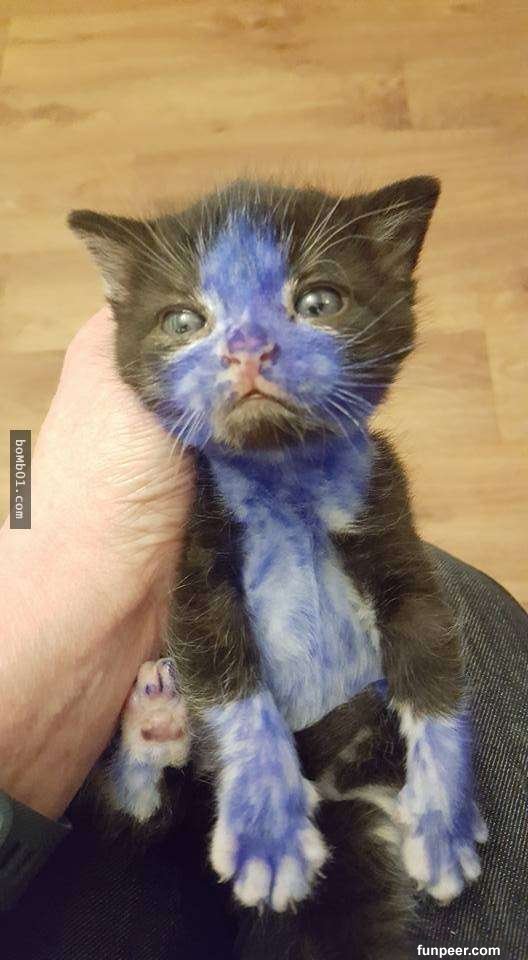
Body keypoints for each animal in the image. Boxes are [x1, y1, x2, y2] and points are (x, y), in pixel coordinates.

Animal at [69, 177, 487, 959]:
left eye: (319, 302)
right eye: (183, 321)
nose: (247, 350)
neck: (284, 478)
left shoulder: (392, 522)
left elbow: (430, 661)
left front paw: (445, 816)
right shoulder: (193, 560)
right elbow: (230, 680)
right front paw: (267, 826)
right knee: (138, 822)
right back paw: (153, 728)